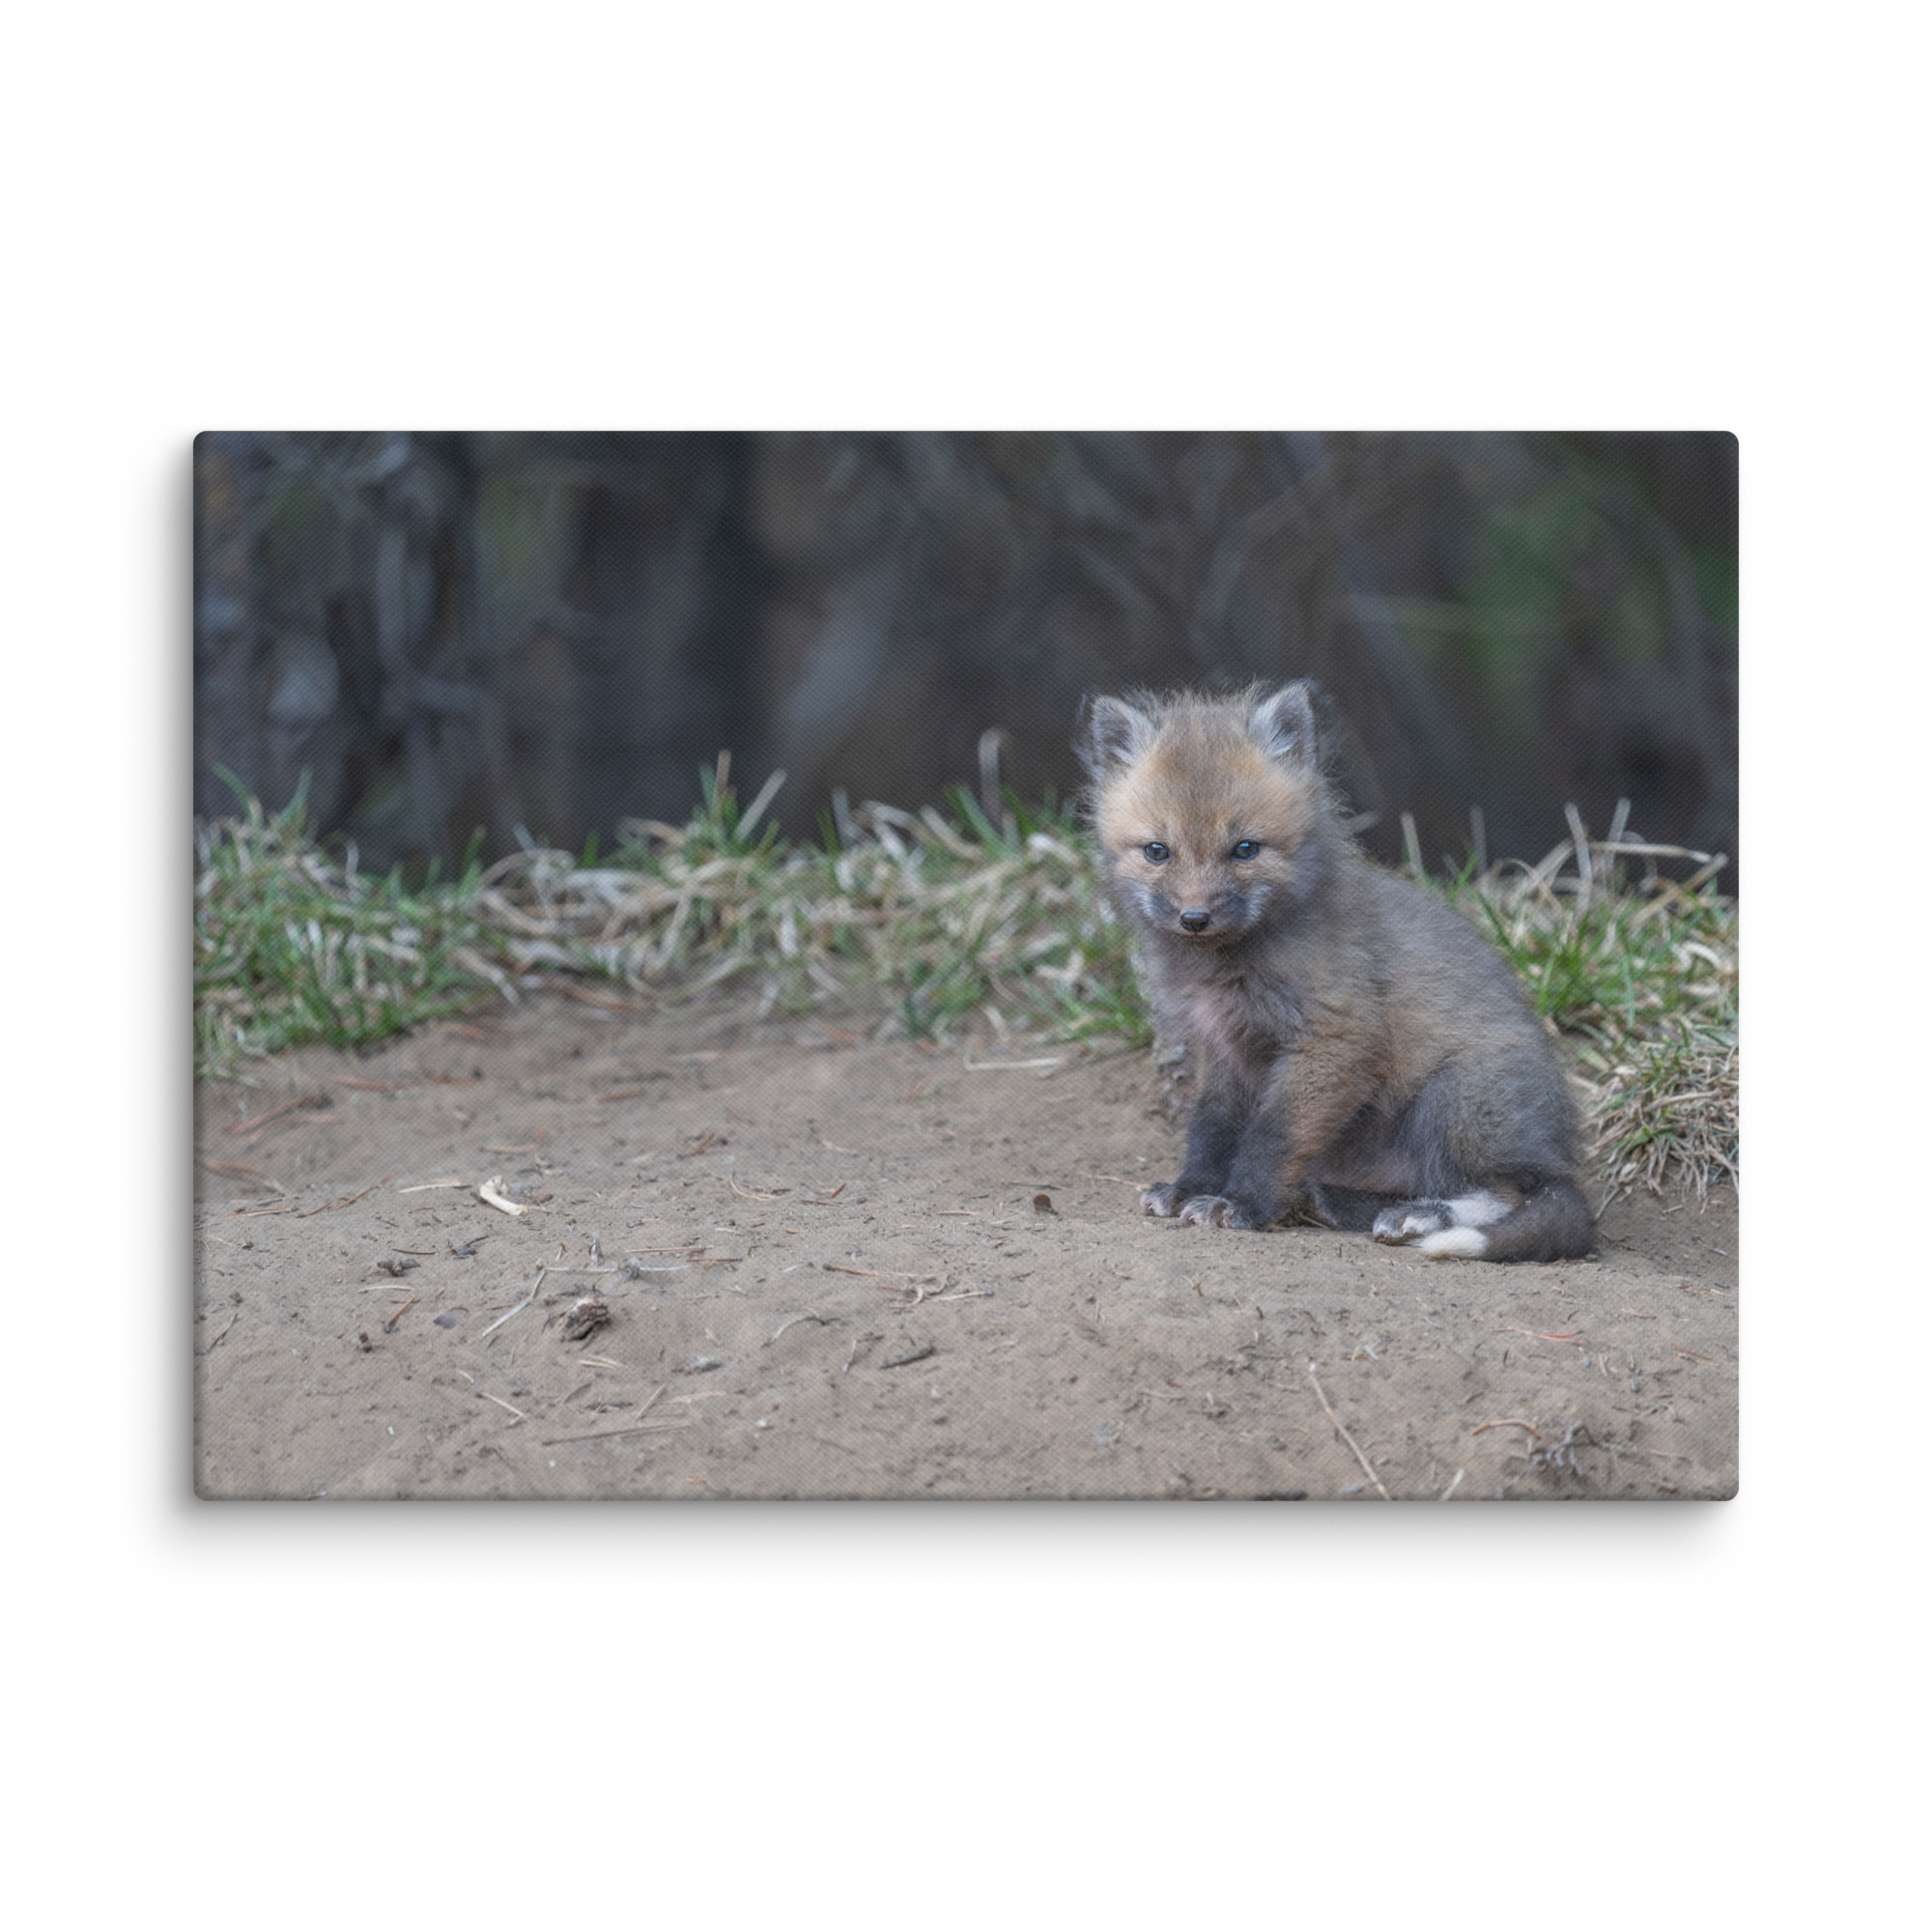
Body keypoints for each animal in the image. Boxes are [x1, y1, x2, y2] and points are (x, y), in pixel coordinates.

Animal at [1077, 681, 1593, 1262]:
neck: (1227, 967)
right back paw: (1341, 1202)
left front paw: (1241, 1205)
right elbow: (1211, 1129)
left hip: (1455, 1098)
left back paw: (1421, 1216)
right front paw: (1191, 1189)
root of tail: (1558, 1153)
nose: (1195, 918)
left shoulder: (1334, 1037)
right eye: (1157, 851)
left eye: (1245, 849)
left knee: (1513, 1193)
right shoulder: (1223, 1049)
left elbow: (1272, 1136)